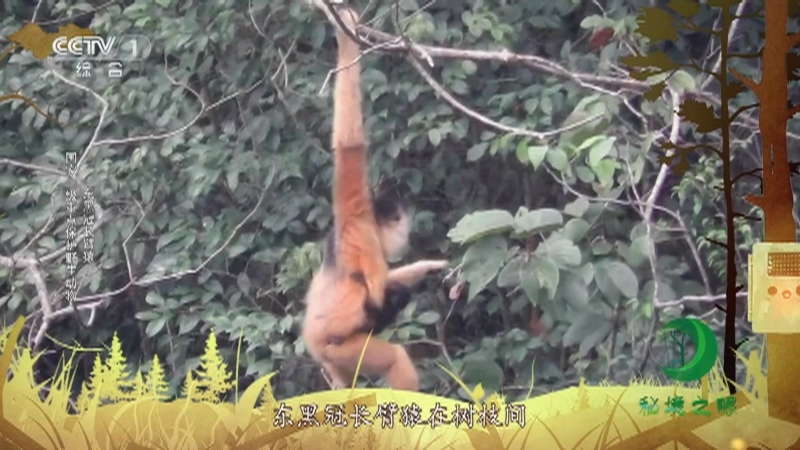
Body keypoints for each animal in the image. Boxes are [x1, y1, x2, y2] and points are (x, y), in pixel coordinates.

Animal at [301, 7, 447, 391]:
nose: (406, 236)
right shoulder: (361, 224)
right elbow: (349, 145)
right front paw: (346, 34)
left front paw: (430, 266)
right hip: (343, 351)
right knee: (388, 342)